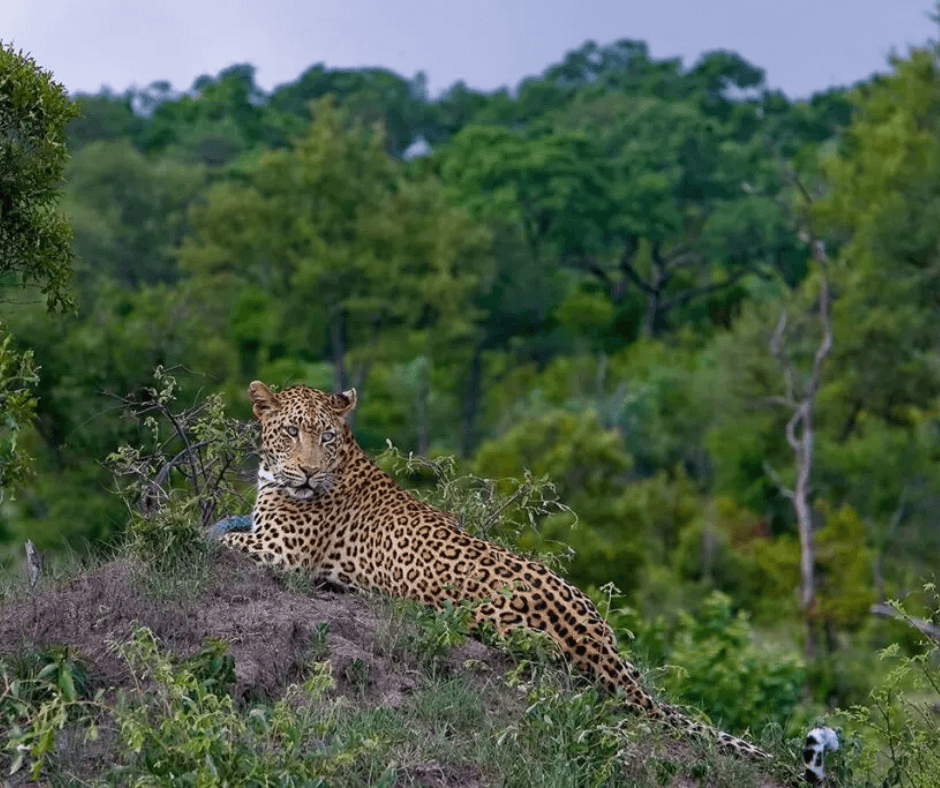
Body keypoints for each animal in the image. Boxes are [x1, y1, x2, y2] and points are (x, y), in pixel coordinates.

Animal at [219, 380, 773, 764]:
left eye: (326, 436)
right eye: (292, 431)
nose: (309, 472)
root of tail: (593, 633)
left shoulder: (282, 552)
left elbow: (214, 536)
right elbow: (224, 522)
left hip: (506, 626)